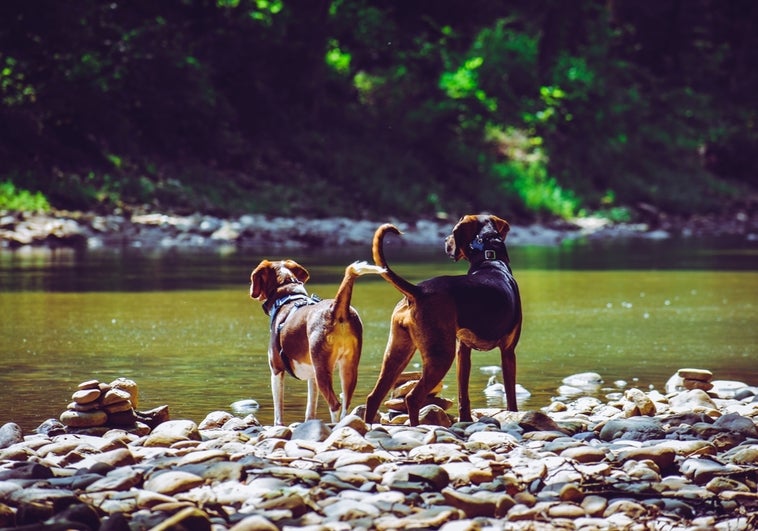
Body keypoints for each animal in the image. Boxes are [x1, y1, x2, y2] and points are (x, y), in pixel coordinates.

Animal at [252, 260, 386, 426]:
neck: (288, 297)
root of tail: (336, 309)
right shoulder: (312, 376)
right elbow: (310, 407)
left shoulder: (276, 370)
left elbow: (278, 409)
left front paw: (278, 425)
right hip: (348, 369)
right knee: (345, 405)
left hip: (322, 371)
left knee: (335, 405)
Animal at [366, 214, 524, 426]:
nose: (444, 241)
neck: (490, 259)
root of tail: (418, 291)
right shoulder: (508, 351)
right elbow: (510, 394)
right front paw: (513, 413)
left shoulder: (463, 351)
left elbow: (463, 394)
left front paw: (465, 419)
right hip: (440, 356)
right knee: (413, 398)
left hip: (397, 353)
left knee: (373, 397)